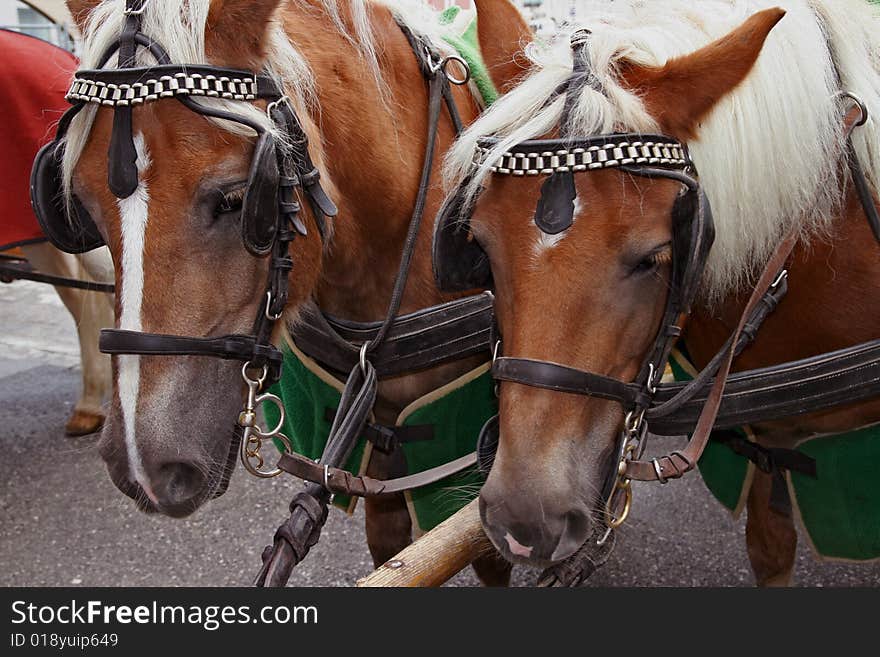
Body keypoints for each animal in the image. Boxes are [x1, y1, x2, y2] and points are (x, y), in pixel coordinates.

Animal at [62, 0, 528, 584]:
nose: (143, 467)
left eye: (237, 198)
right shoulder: (371, 456)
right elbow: (389, 548)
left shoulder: (464, 467)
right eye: (84, 203)